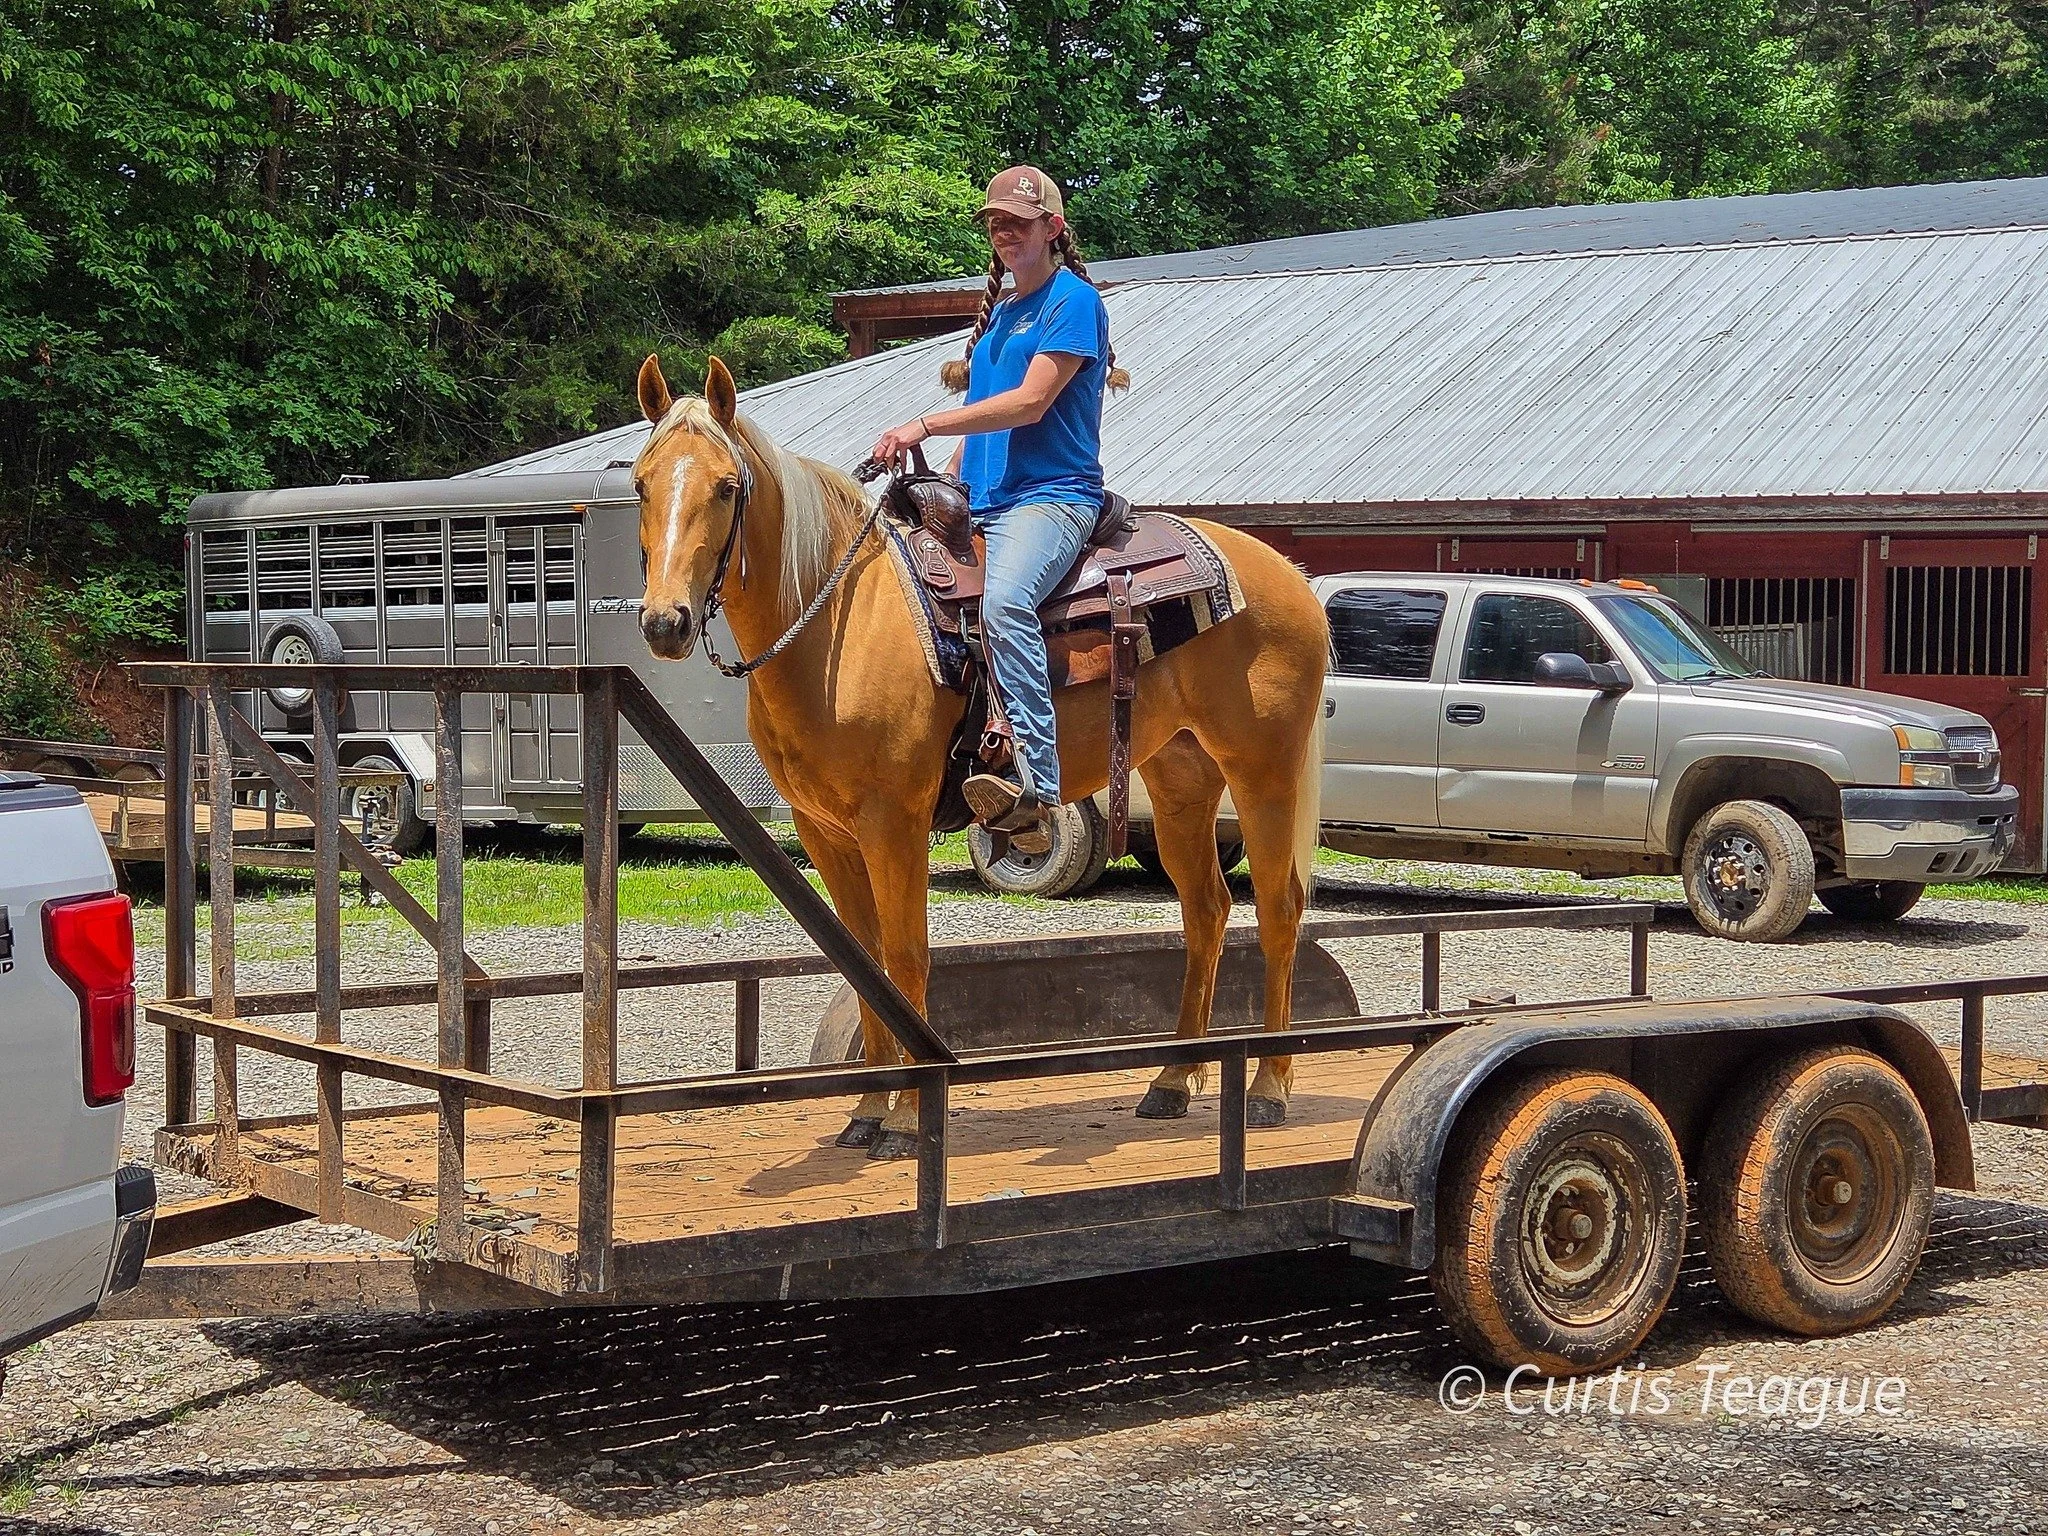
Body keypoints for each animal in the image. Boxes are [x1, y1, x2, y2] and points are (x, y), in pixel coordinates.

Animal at [633, 355, 1330, 1158]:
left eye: (725, 485)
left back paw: (1269, 1086)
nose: (664, 622)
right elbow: (863, 958)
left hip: (1264, 771)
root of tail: (1288, 574)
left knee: (1278, 907)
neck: (837, 620)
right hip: (1179, 775)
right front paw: (866, 1111)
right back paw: (1172, 1082)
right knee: (1207, 910)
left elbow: (905, 955)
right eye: (642, 483)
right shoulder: (823, 829)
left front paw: (907, 1121)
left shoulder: (893, 822)